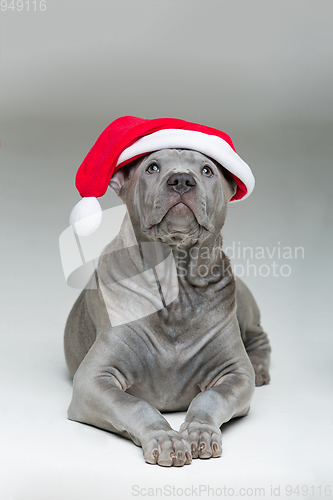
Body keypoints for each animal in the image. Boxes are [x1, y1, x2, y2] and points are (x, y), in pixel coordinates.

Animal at [64, 146, 270, 466]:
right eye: (152, 167)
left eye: (207, 170)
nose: (182, 180)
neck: (177, 291)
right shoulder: (92, 380)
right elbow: (133, 404)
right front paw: (165, 438)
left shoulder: (236, 374)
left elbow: (211, 396)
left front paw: (200, 431)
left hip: (245, 308)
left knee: (260, 337)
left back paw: (259, 365)